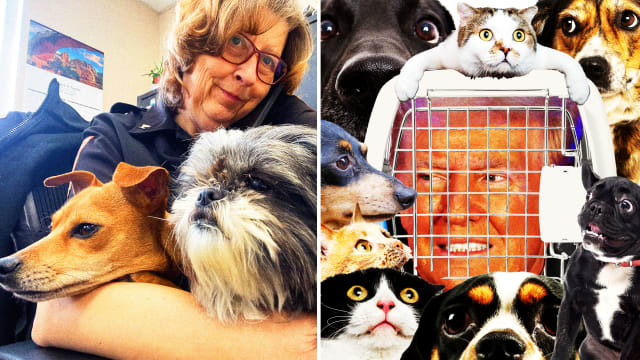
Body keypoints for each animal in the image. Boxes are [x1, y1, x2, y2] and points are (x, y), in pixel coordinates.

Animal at [396, 3, 592, 104]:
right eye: (486, 34)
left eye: (519, 35)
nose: (505, 49)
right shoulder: (447, 53)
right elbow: (416, 60)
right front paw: (404, 87)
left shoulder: (538, 57)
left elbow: (570, 61)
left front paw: (580, 91)